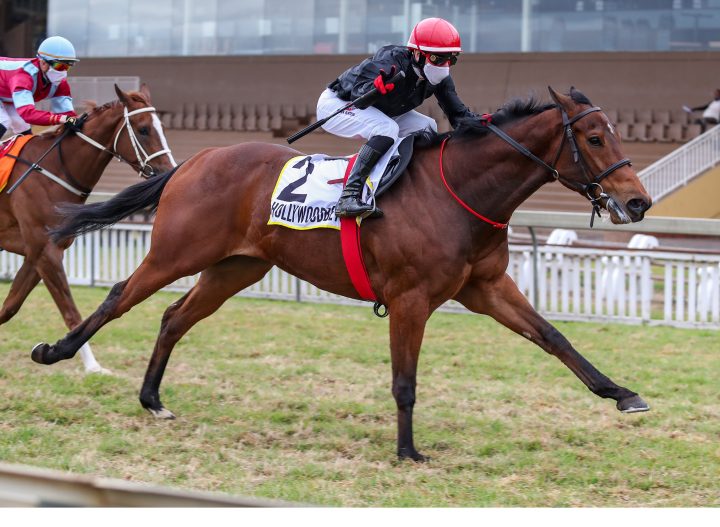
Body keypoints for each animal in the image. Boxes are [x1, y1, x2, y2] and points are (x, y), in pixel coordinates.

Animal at [0, 84, 176, 373]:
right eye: (143, 129)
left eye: (160, 126)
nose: (168, 171)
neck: (55, 169)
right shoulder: (44, 251)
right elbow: (71, 312)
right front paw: (92, 366)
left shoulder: (38, 253)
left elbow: (9, 306)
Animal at [33, 87, 652, 461]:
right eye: (595, 138)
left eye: (618, 134)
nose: (639, 201)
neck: (460, 190)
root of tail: (195, 160)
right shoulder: (410, 298)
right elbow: (405, 381)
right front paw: (408, 451)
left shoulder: (486, 287)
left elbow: (552, 336)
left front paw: (621, 393)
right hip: (176, 252)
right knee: (120, 296)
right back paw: (56, 352)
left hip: (236, 268)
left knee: (173, 316)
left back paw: (152, 398)